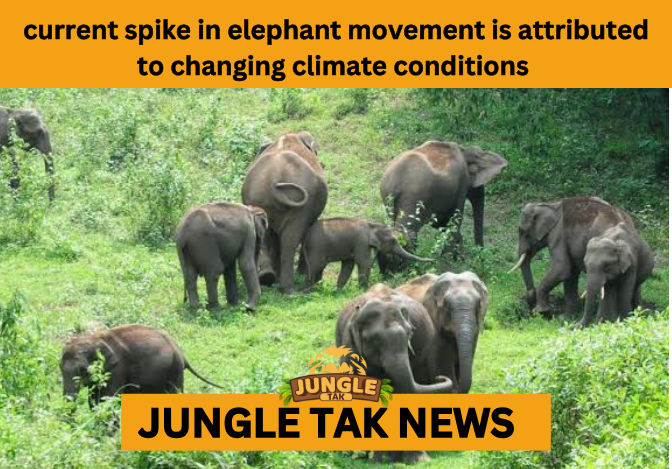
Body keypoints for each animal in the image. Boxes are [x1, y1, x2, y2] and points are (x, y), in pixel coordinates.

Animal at [60, 324, 223, 406]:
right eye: (60, 368)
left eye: (82, 370)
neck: (93, 338)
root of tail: (180, 351)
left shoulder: (116, 369)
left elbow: (108, 398)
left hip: (174, 370)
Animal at [242, 131, 328, 293]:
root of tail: (273, 182)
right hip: (301, 208)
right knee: (290, 240)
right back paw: (289, 290)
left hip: (258, 200)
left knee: (265, 236)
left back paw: (267, 278)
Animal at [299, 218, 432, 289]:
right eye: (393, 241)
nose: (432, 260)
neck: (371, 224)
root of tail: (306, 235)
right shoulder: (361, 242)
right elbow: (364, 262)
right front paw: (365, 289)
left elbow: (348, 265)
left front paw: (338, 290)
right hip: (317, 248)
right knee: (316, 267)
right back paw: (309, 292)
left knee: (318, 268)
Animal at [337, 283, 454, 464]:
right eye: (375, 340)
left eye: (409, 335)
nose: (439, 377)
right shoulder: (350, 349)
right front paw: (368, 458)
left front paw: (417, 460)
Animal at [379, 141, 507, 273]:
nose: (480, 259)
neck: (465, 149)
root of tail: (395, 182)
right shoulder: (462, 184)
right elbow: (455, 219)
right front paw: (451, 262)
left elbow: (441, 223)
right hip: (414, 196)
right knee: (409, 230)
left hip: (388, 196)